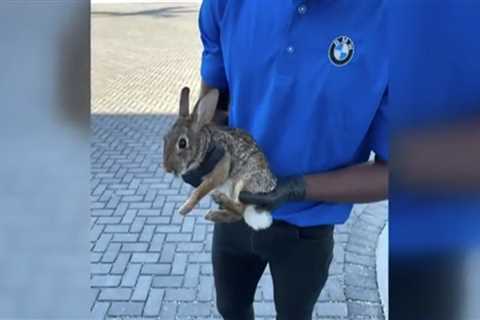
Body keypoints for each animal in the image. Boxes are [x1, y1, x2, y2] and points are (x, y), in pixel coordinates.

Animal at [163, 86, 278, 229]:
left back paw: (219, 200)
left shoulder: (221, 168)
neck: (205, 146)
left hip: (241, 183)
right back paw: (214, 212)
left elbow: (200, 191)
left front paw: (184, 209)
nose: (167, 168)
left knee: (240, 209)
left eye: (182, 143)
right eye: (165, 138)